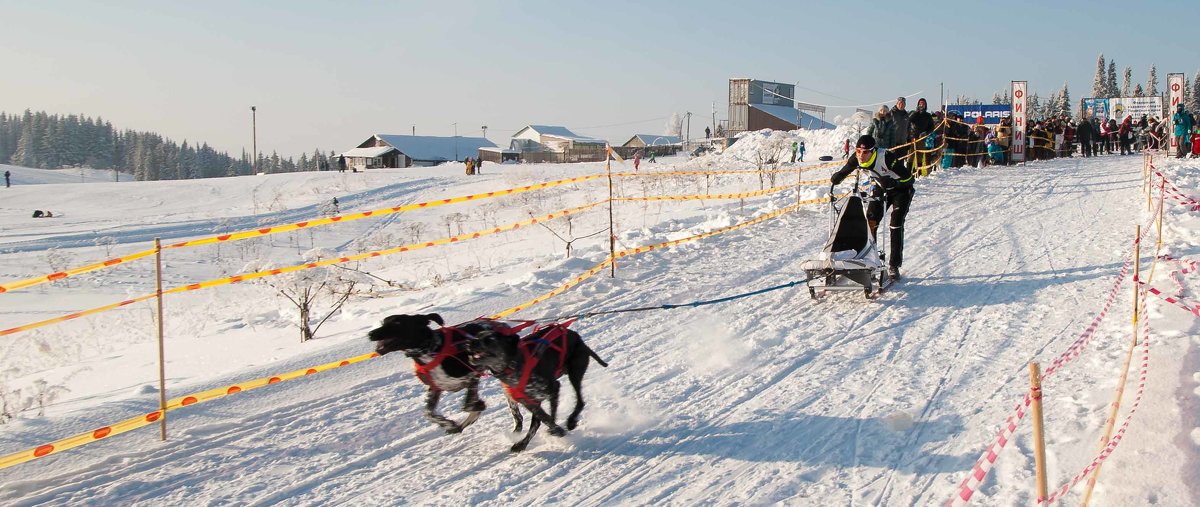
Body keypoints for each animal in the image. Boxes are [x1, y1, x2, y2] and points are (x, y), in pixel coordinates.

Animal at [367, 314, 513, 434]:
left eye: (397, 323)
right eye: (383, 322)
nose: (370, 333)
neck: (431, 350)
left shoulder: (472, 375)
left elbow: (468, 404)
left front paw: (477, 407)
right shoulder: (435, 388)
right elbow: (428, 413)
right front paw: (449, 424)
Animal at [463, 321, 604, 454]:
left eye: (490, 339)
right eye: (478, 335)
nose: (469, 342)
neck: (512, 366)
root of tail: (579, 338)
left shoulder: (553, 388)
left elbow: (549, 416)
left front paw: (557, 430)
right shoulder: (528, 401)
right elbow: (540, 419)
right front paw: (522, 443)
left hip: (575, 373)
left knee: (580, 401)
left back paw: (571, 420)